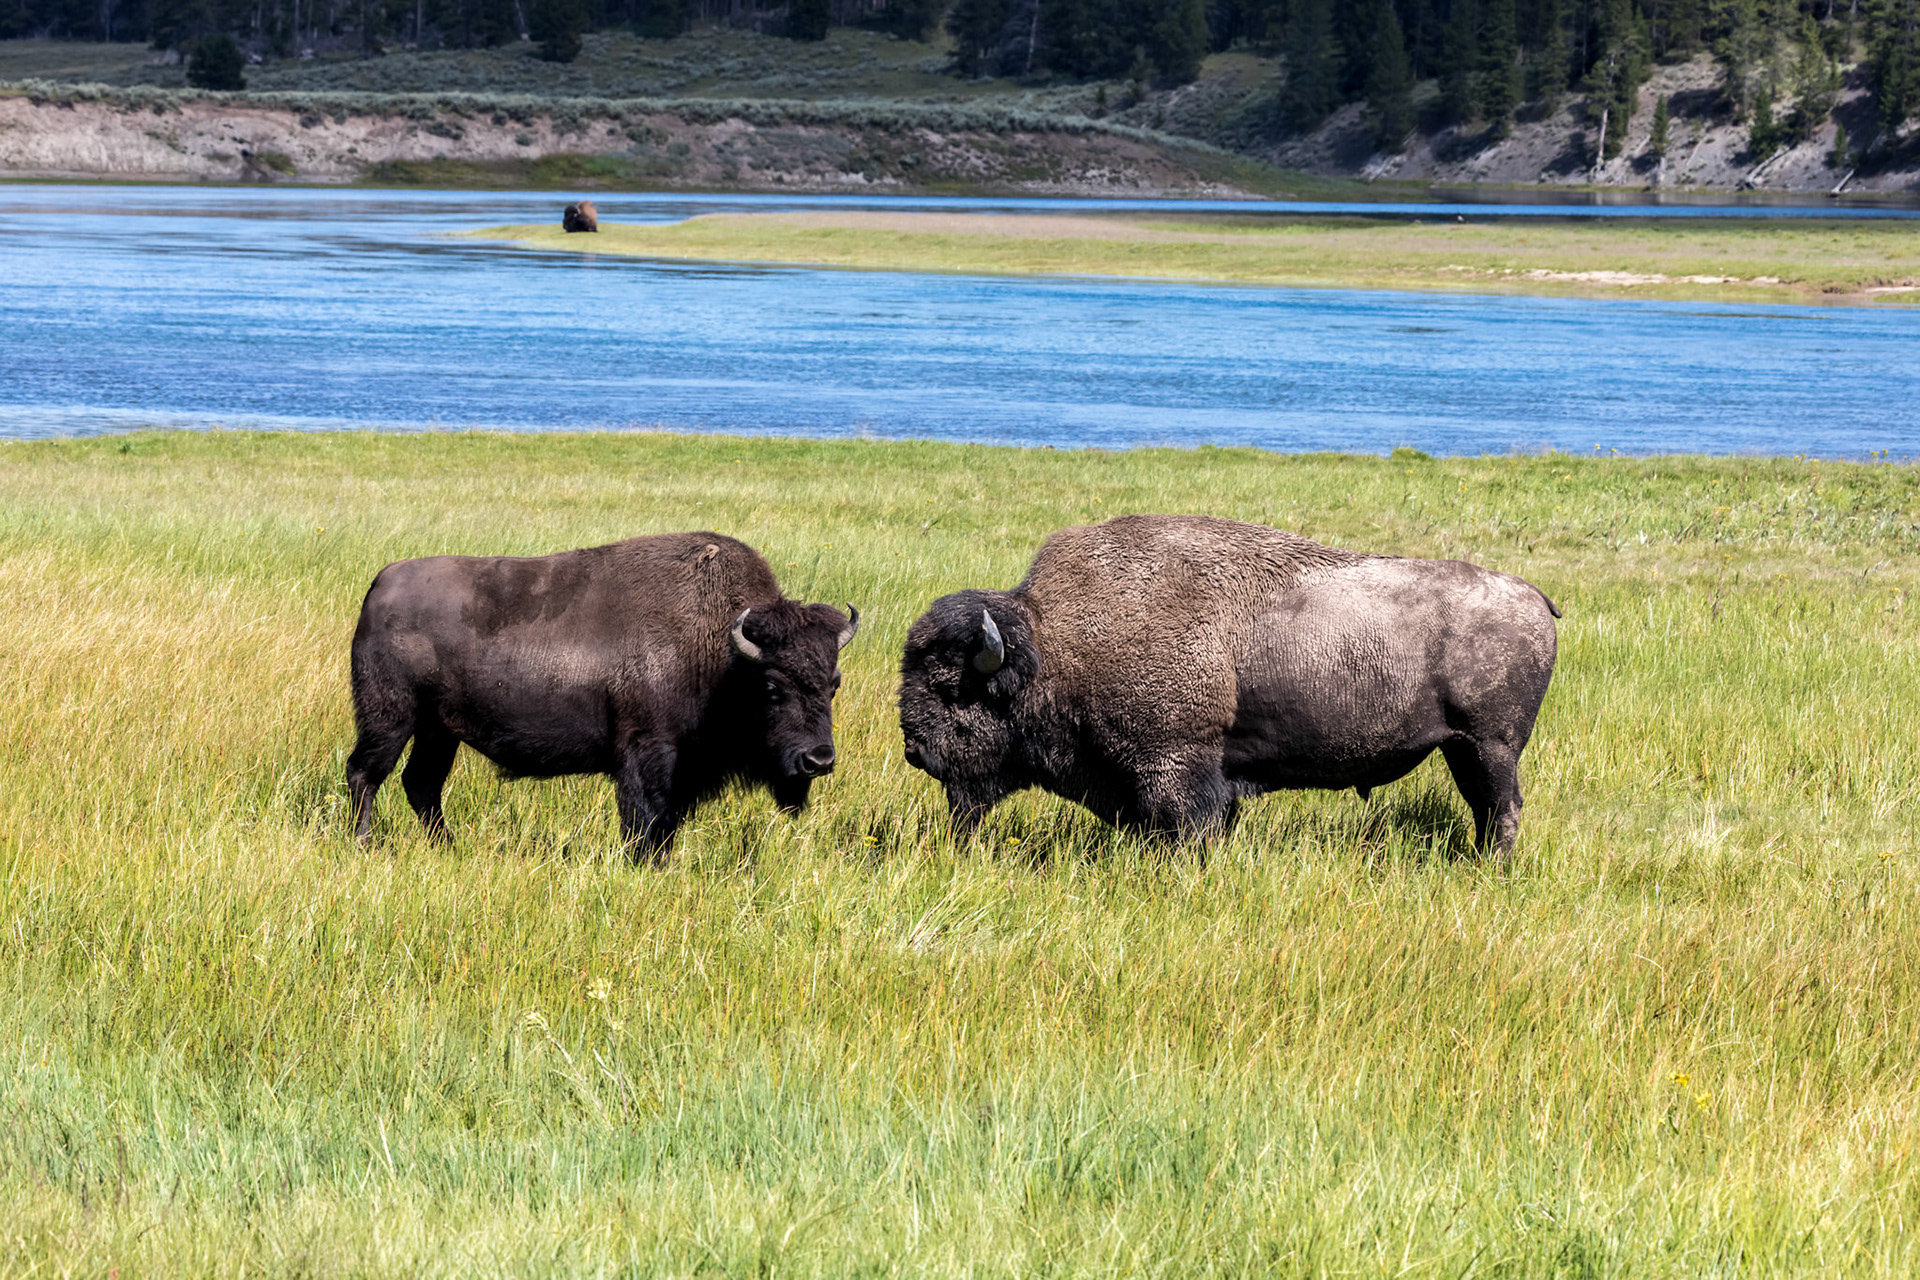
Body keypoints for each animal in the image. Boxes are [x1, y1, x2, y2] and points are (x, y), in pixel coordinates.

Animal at [347, 532, 857, 858]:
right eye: (771, 686)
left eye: (833, 684)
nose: (818, 760)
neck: (724, 653)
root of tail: (380, 583)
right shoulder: (648, 755)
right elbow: (646, 820)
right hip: (391, 718)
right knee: (365, 774)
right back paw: (365, 846)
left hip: (438, 730)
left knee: (422, 784)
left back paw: (449, 849)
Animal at [897, 514, 1558, 864]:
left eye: (951, 688)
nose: (913, 749)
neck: (1052, 643)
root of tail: (1535, 597)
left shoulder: (1175, 768)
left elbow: (1187, 825)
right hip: (1462, 748)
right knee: (1485, 807)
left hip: (1490, 746)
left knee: (1502, 807)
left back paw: (1491, 869)